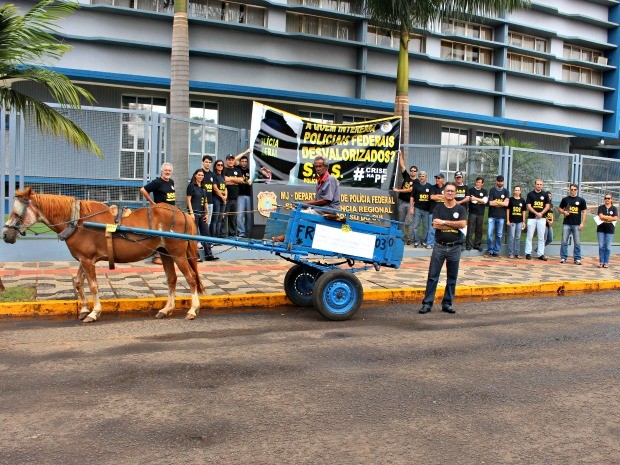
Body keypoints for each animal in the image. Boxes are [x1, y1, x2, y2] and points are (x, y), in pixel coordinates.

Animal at [3, 187, 206, 320]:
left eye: (16, 213)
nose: (5, 235)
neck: (77, 220)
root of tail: (182, 213)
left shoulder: (87, 260)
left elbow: (93, 286)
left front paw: (94, 312)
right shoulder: (84, 259)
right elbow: (78, 282)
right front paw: (84, 309)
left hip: (178, 254)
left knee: (190, 278)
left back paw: (192, 310)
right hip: (165, 253)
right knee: (172, 279)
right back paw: (166, 309)